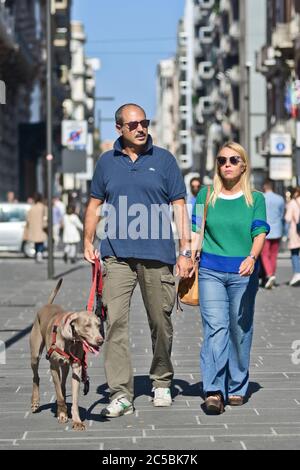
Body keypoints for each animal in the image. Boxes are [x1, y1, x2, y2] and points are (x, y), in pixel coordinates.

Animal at [29, 280, 103, 430]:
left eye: (98, 325)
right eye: (87, 325)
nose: (101, 340)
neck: (70, 339)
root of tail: (47, 304)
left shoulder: (77, 367)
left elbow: (74, 398)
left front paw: (76, 420)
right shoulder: (53, 366)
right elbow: (59, 395)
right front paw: (62, 415)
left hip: (65, 365)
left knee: (62, 384)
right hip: (35, 354)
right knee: (36, 377)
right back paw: (35, 402)